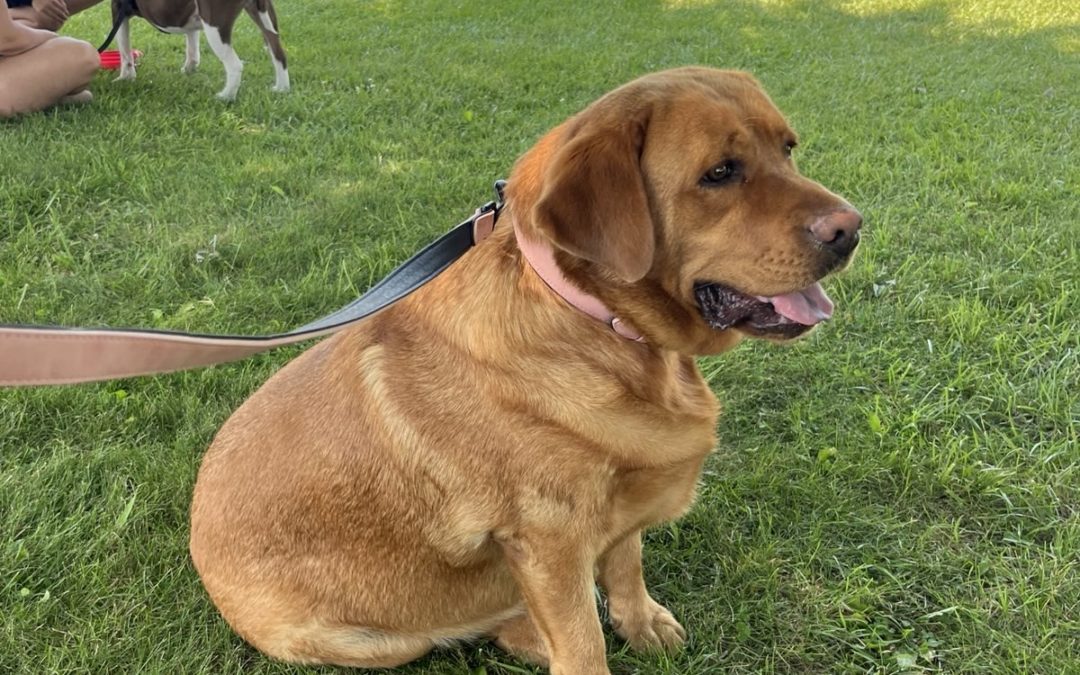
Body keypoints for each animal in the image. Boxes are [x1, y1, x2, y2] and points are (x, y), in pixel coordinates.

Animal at [101, 0, 285, 98]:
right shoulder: (191, 18)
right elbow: (192, 47)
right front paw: (189, 69)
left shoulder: (118, 11)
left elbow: (125, 50)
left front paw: (125, 78)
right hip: (264, 16)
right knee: (279, 53)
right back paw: (281, 89)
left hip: (215, 23)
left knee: (235, 65)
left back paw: (225, 97)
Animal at [187, 65, 859, 669]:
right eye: (720, 173)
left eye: (788, 149)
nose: (853, 229)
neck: (594, 320)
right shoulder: (548, 541)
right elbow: (583, 647)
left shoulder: (617, 499)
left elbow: (626, 559)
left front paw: (639, 620)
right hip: (374, 641)